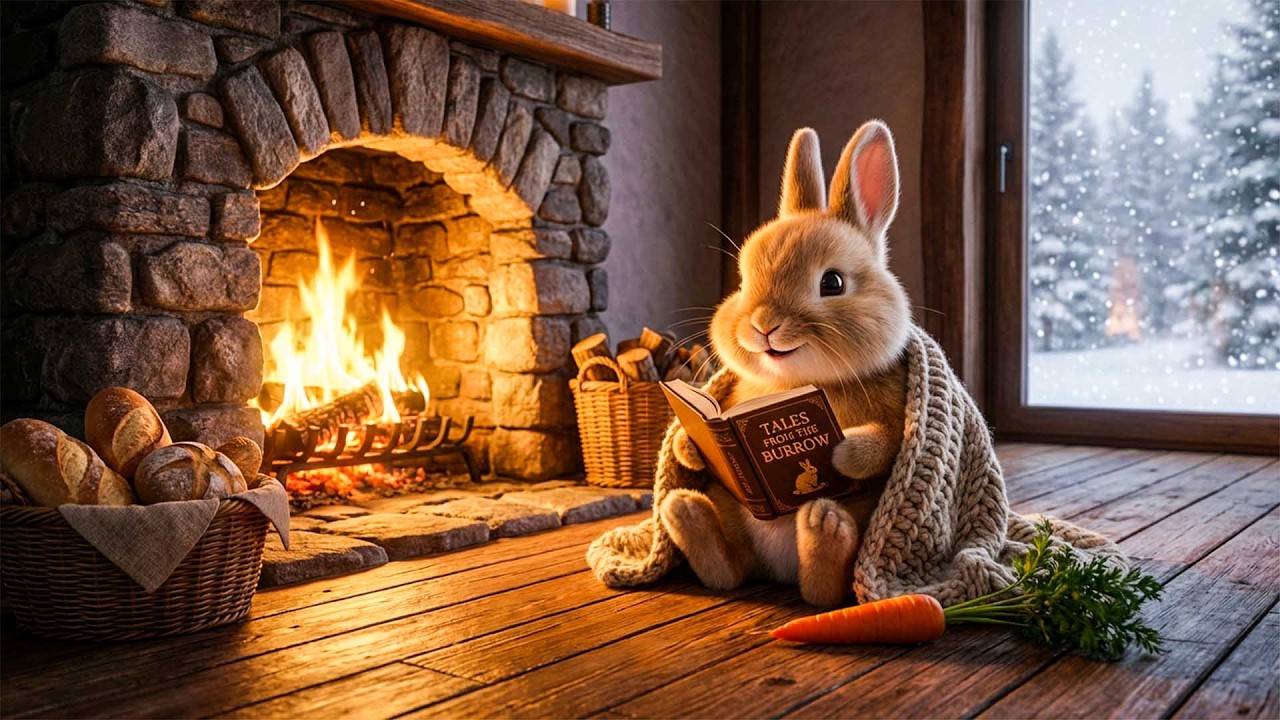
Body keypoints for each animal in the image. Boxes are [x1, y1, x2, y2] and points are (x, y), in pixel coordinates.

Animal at [659, 120, 910, 608]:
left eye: (832, 283)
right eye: (743, 282)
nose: (763, 325)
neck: (794, 382)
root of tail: (779, 570)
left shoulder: (896, 408)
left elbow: (886, 440)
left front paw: (840, 453)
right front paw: (687, 446)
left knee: (825, 591)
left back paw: (824, 525)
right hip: (732, 515)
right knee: (729, 574)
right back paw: (685, 512)